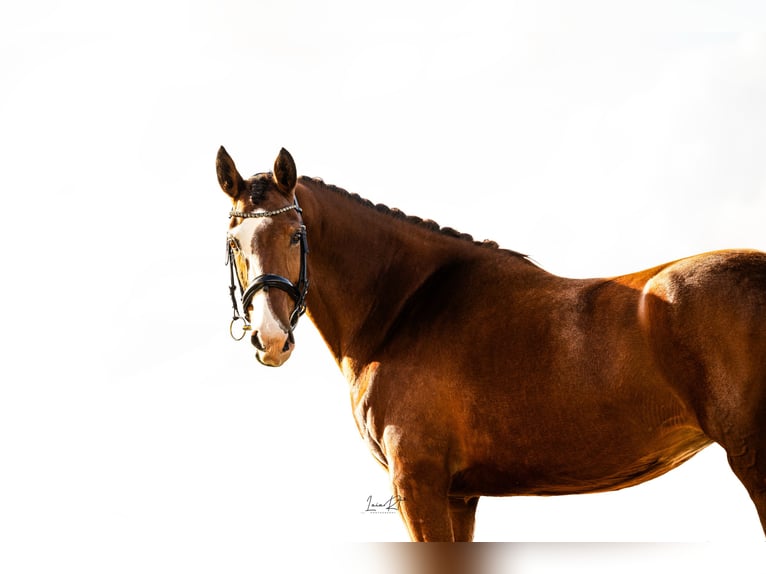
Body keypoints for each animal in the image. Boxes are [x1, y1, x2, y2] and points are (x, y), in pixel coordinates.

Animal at [216, 146, 766, 542]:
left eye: (295, 234)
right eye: (235, 243)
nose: (271, 337)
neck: (406, 306)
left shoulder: (418, 484)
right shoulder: (460, 497)